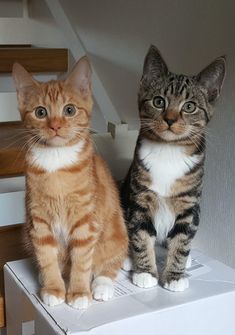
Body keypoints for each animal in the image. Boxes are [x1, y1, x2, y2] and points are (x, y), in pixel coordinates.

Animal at [11, 57, 127, 310]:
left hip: (116, 234)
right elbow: (46, 257)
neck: (56, 161)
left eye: (69, 110)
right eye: (40, 112)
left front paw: (79, 292)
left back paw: (102, 286)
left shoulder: (85, 221)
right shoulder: (39, 220)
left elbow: (82, 261)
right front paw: (53, 288)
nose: (55, 125)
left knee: (110, 263)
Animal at [121, 46, 226, 292]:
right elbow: (140, 234)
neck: (168, 150)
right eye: (159, 101)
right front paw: (145, 272)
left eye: (189, 106)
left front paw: (175, 274)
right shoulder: (139, 198)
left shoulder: (189, 203)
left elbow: (182, 238)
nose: (170, 119)